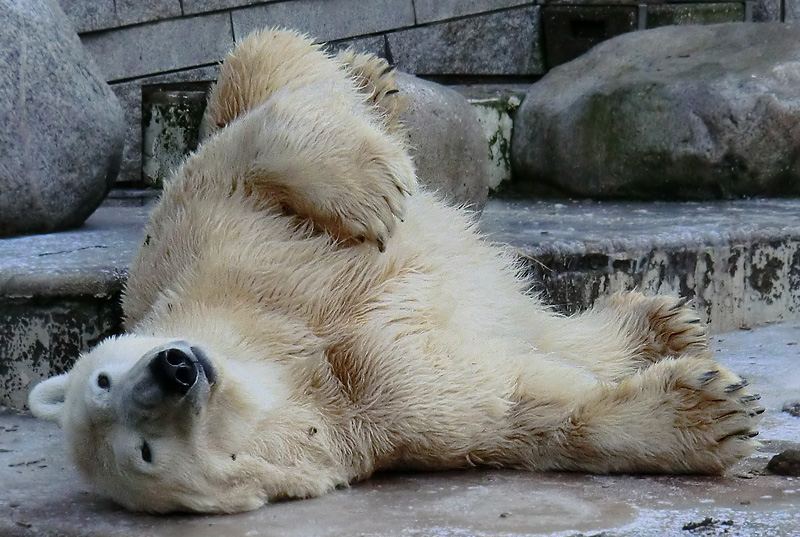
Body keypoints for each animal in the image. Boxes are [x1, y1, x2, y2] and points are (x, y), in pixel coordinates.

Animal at [29, 30, 764, 516]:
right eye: (144, 453)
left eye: (101, 377)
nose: (174, 369)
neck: (281, 356)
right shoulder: (377, 415)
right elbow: (517, 409)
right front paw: (713, 409)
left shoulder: (206, 250)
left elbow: (250, 145)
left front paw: (374, 191)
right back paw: (665, 326)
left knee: (256, 68)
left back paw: (371, 82)